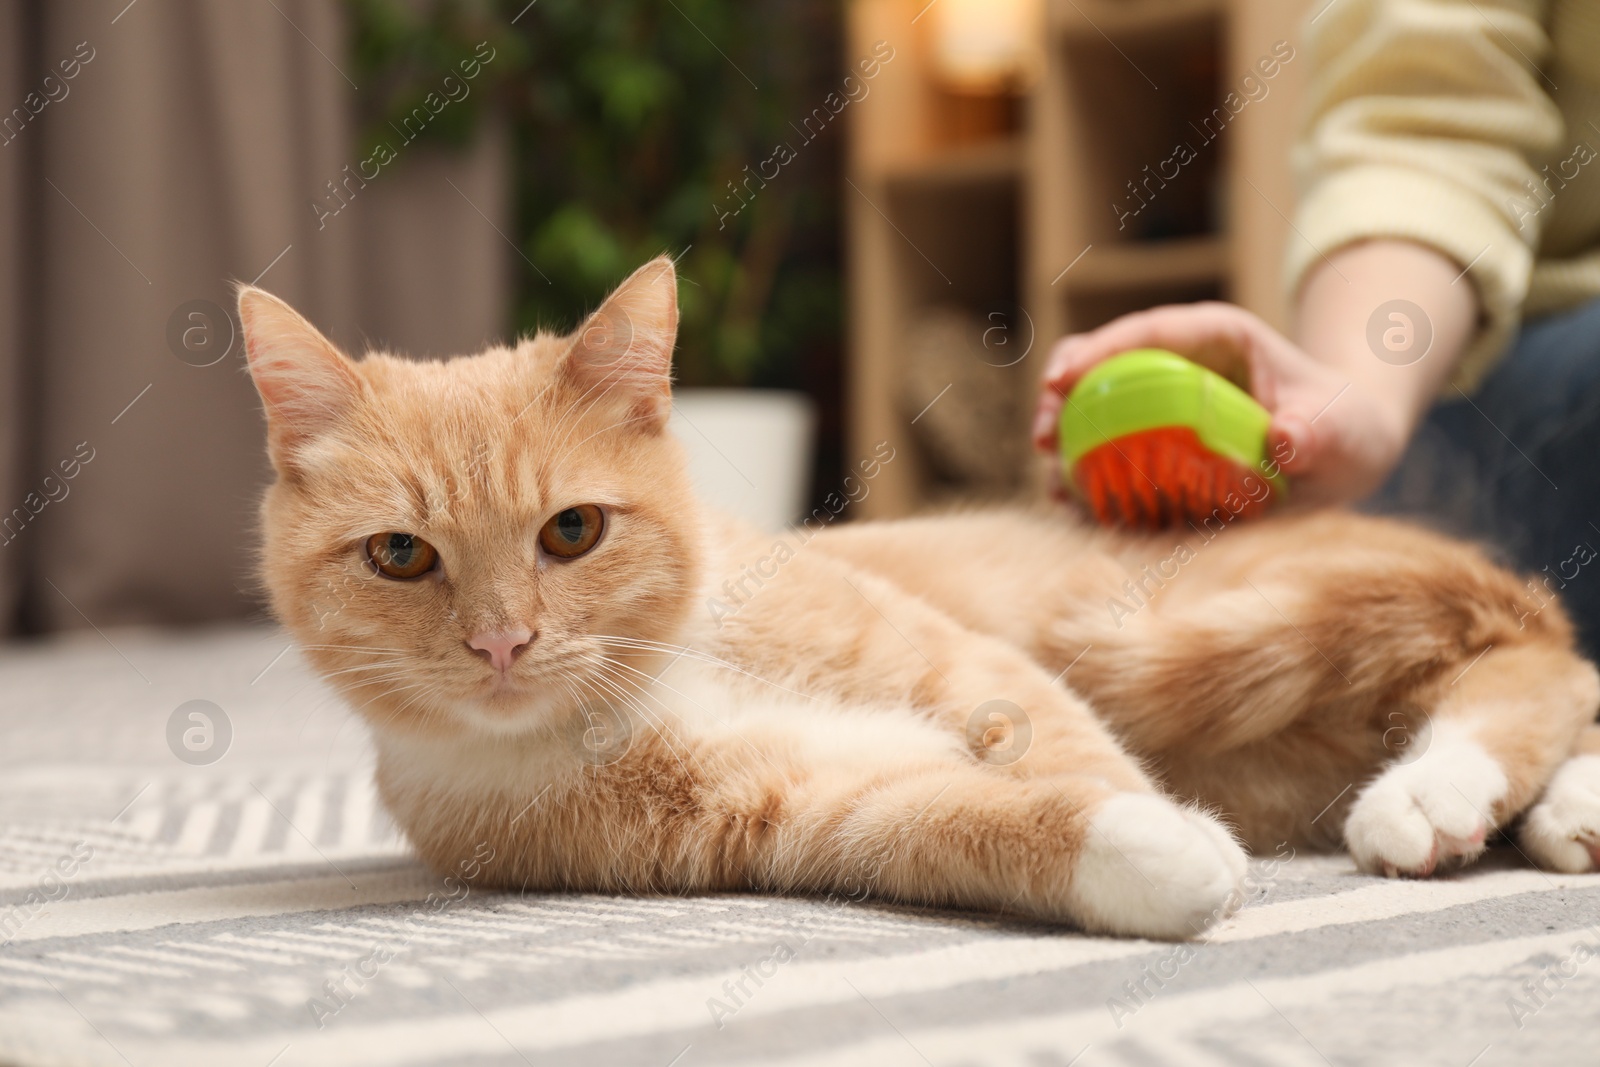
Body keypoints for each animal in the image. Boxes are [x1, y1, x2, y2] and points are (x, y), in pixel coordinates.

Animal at [233, 260, 1600, 940]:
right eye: (400, 556)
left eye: (572, 530)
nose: (503, 641)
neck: (642, 693)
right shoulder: (793, 808)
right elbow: (942, 819)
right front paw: (1148, 852)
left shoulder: (969, 667)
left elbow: (1067, 749)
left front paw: (1160, 824)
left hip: (1182, 631)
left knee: (1539, 662)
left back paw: (1441, 791)